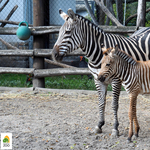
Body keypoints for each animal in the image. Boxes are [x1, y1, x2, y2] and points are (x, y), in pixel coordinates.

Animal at [51, 8, 150, 137]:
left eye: (68, 32)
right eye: (59, 32)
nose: (54, 55)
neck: (96, 55)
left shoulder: (116, 80)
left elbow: (114, 104)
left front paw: (115, 128)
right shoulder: (97, 79)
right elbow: (101, 102)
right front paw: (99, 125)